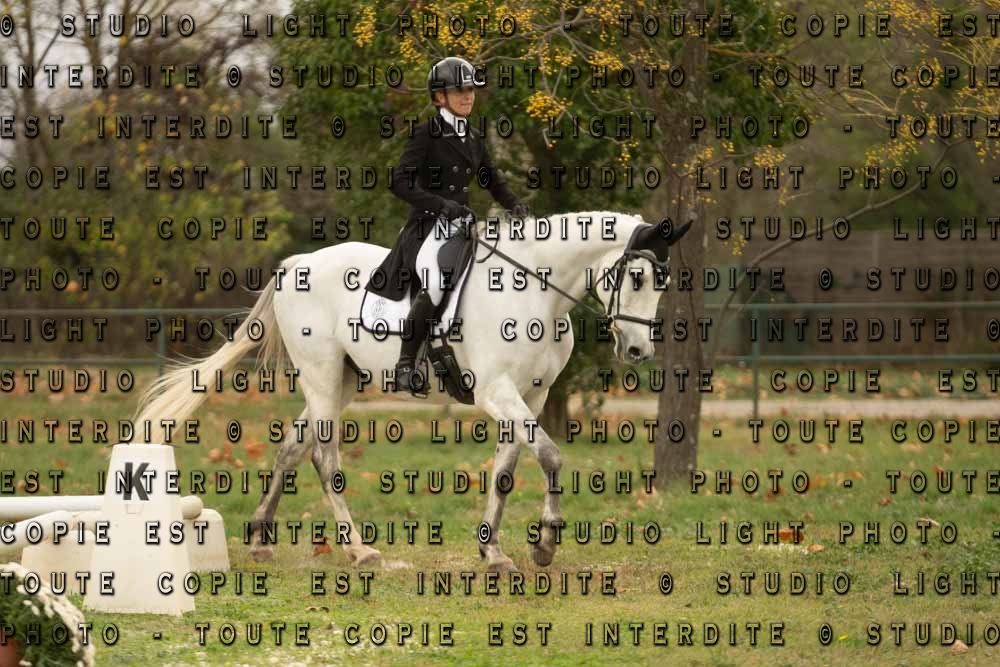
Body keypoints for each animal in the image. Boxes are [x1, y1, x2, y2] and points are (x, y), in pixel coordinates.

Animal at [133, 211, 691, 573]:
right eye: (636, 275)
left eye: (662, 281)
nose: (638, 349)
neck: (533, 290)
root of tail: (296, 264)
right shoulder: (496, 391)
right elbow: (551, 455)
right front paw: (546, 543)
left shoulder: (529, 397)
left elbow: (506, 471)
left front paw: (493, 552)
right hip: (320, 373)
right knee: (325, 458)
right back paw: (358, 550)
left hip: (343, 381)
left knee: (293, 448)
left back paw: (260, 539)